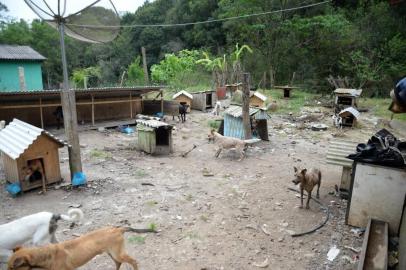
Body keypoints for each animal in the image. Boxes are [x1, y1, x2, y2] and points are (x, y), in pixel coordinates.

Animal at [7, 226, 157, 270]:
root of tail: (118, 229)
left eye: (13, 268)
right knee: (118, 264)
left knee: (133, 261)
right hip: (113, 254)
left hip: (118, 253)